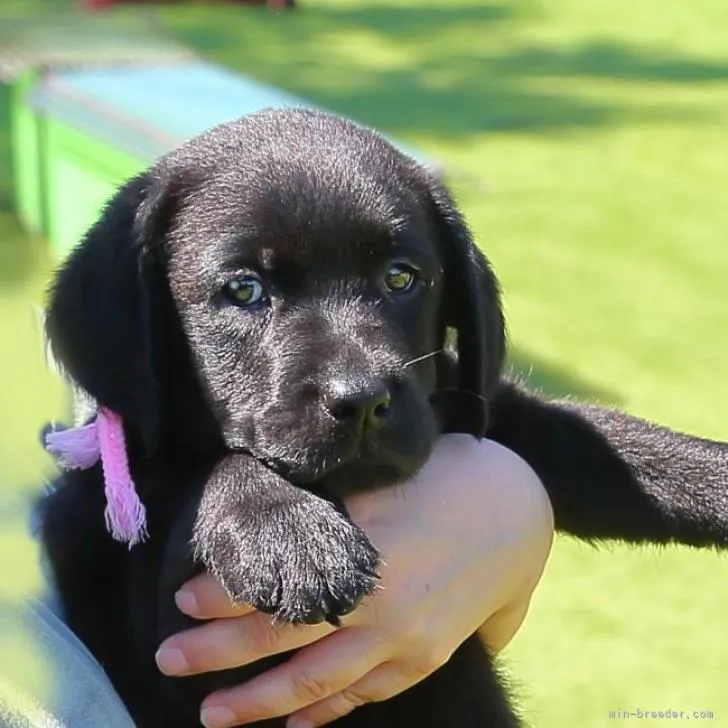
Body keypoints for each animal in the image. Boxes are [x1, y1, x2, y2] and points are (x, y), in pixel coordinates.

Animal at [38, 109, 728, 728]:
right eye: (243, 290)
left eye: (401, 278)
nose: (362, 400)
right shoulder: (183, 647)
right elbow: (210, 469)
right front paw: (287, 531)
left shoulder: (472, 402)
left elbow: (605, 442)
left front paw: (710, 477)